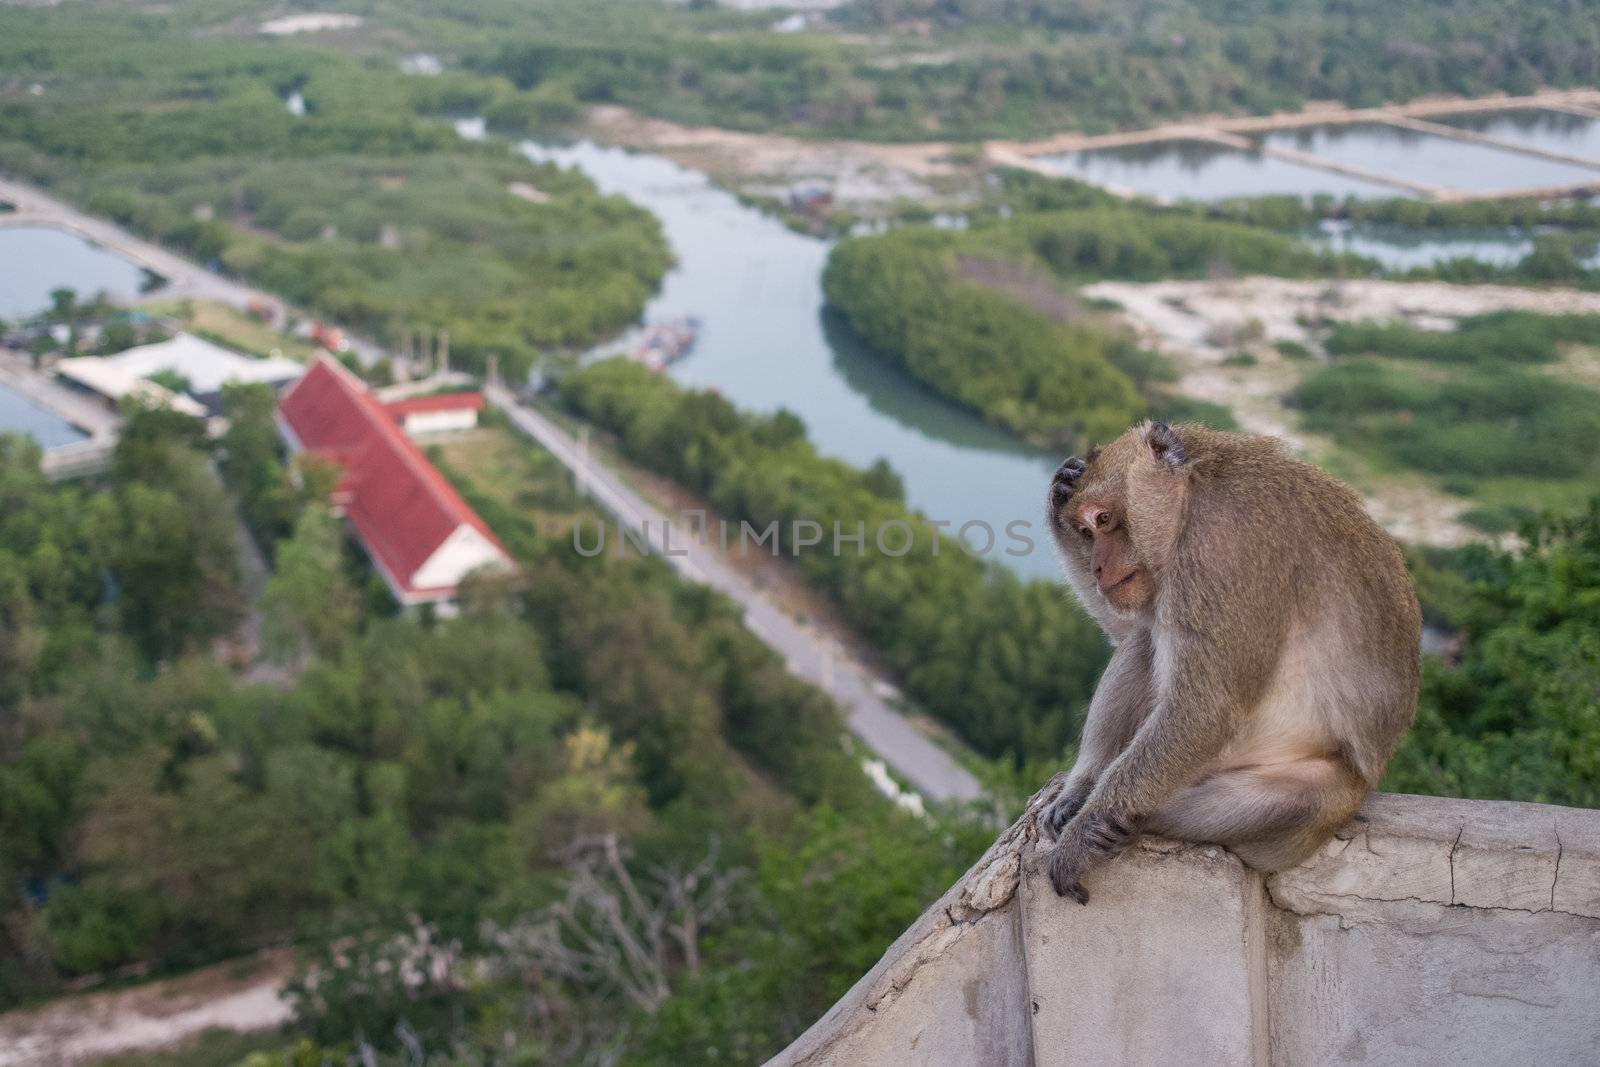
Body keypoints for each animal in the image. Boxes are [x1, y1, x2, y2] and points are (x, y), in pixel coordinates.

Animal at [1030, 422, 1420, 908]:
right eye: (1084, 531)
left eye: (1103, 519)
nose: (1099, 567)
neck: (1192, 500)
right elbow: (1128, 630)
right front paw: (1060, 489)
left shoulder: (1222, 552)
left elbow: (1205, 712)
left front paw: (1081, 839)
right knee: (1142, 643)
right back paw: (1082, 791)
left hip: (1325, 793)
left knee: (1302, 802)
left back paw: (1122, 823)